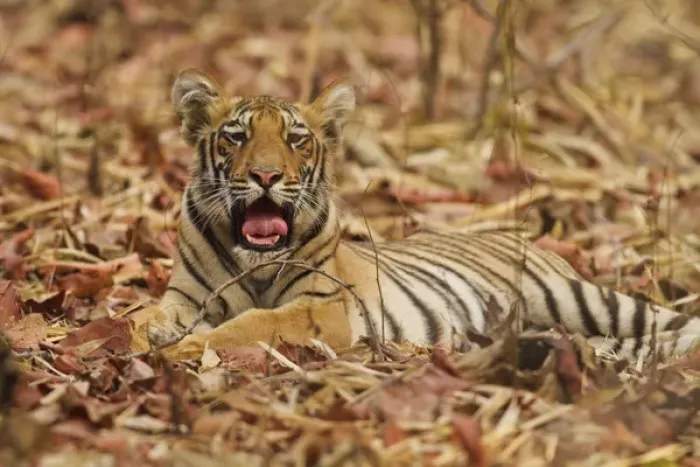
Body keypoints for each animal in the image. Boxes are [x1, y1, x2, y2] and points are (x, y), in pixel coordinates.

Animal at [143, 67, 700, 364]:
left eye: (295, 138)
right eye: (236, 136)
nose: (265, 175)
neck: (254, 261)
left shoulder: (320, 305)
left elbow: (251, 323)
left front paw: (181, 350)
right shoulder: (184, 296)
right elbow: (142, 311)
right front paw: (148, 335)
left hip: (579, 296)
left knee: (668, 323)